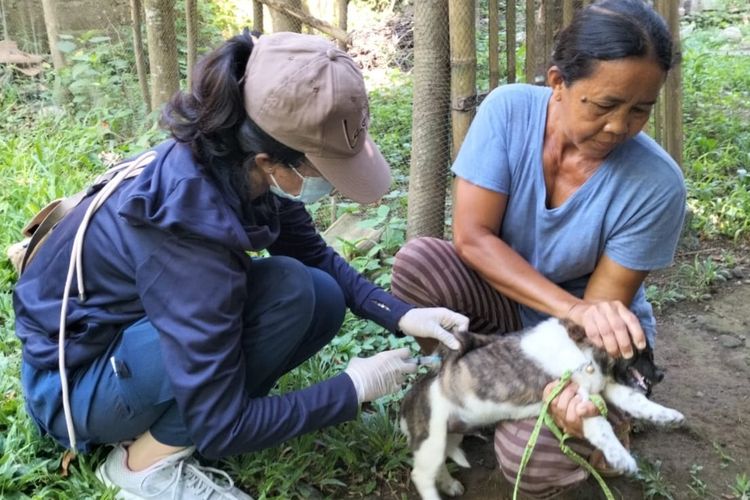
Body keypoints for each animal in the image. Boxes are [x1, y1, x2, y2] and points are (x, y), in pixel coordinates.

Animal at [402, 318, 684, 498]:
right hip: (431, 439)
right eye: (644, 353)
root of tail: (414, 393)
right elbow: (603, 428)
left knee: (439, 463)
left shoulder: (604, 389)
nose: (661, 374)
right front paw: (621, 458)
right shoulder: (580, 398)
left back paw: (449, 485)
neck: (586, 355)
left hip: (449, 434)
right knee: (421, 475)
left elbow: (637, 401)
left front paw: (668, 416)